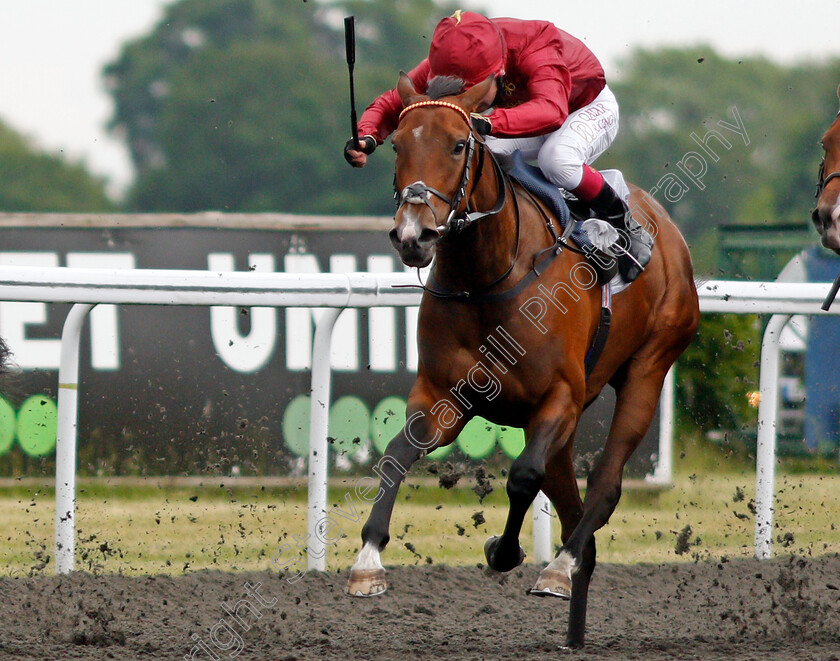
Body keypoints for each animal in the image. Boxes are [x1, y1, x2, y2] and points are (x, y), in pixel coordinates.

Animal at [344, 75, 700, 648]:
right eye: (397, 146)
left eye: (459, 145)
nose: (413, 235)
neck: (488, 277)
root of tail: (666, 228)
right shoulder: (445, 395)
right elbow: (398, 453)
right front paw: (368, 561)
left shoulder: (558, 398)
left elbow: (521, 475)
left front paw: (507, 552)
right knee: (574, 506)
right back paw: (573, 618)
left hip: (648, 368)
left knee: (603, 486)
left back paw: (560, 566)